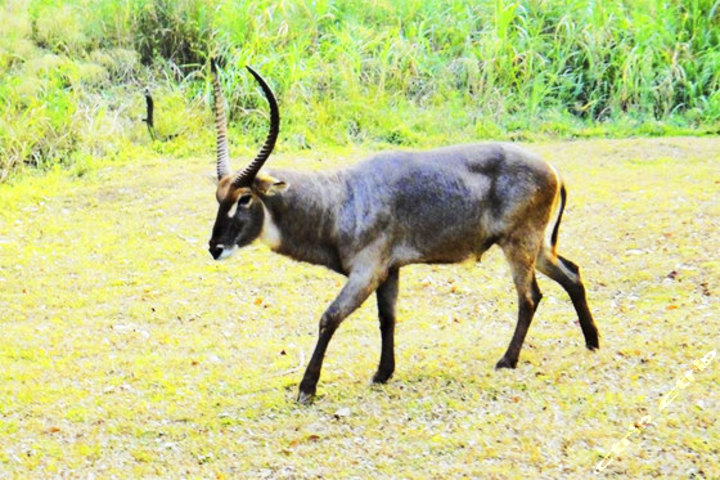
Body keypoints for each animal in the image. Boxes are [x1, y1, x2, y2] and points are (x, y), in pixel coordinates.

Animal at [205, 61, 600, 404]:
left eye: (244, 198)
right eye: (219, 197)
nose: (214, 248)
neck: (339, 200)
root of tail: (553, 169)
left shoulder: (367, 271)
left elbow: (329, 317)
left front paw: (307, 389)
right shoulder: (390, 270)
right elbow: (387, 318)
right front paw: (383, 372)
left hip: (519, 244)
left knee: (530, 296)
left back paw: (508, 360)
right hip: (536, 246)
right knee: (572, 273)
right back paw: (592, 341)